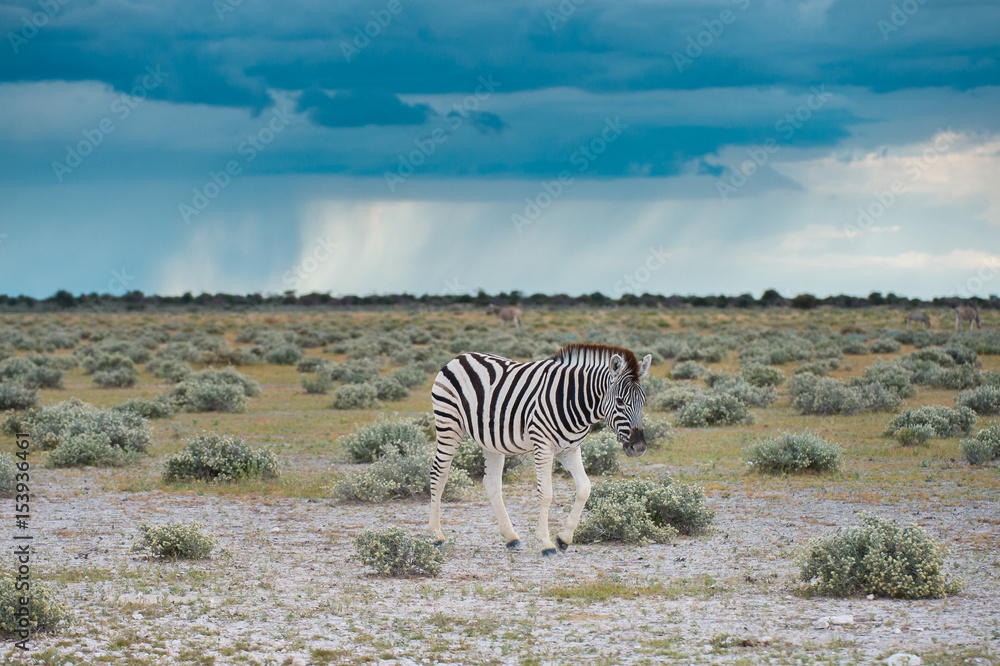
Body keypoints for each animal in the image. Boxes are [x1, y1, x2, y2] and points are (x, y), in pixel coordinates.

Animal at [429, 343, 652, 556]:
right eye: (620, 401)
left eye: (644, 401)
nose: (639, 447)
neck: (574, 399)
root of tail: (460, 357)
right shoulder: (543, 445)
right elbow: (546, 493)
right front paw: (546, 543)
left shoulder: (570, 449)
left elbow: (584, 488)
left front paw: (564, 538)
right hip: (449, 423)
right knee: (438, 474)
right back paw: (436, 535)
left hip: (490, 440)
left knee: (491, 483)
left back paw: (511, 537)